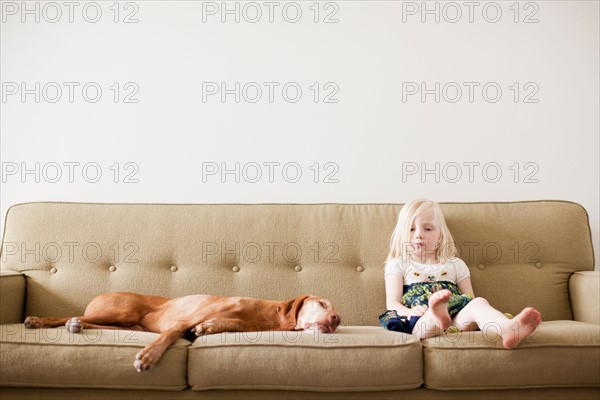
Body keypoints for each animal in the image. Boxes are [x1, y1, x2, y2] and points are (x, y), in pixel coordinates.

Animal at [23, 290, 340, 372]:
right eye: (322, 303)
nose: (337, 319)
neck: (266, 316)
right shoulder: (182, 321)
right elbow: (169, 336)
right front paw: (148, 357)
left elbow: (228, 324)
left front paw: (209, 327)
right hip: (122, 311)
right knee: (67, 315)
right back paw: (37, 321)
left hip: (127, 323)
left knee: (83, 320)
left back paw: (75, 325)